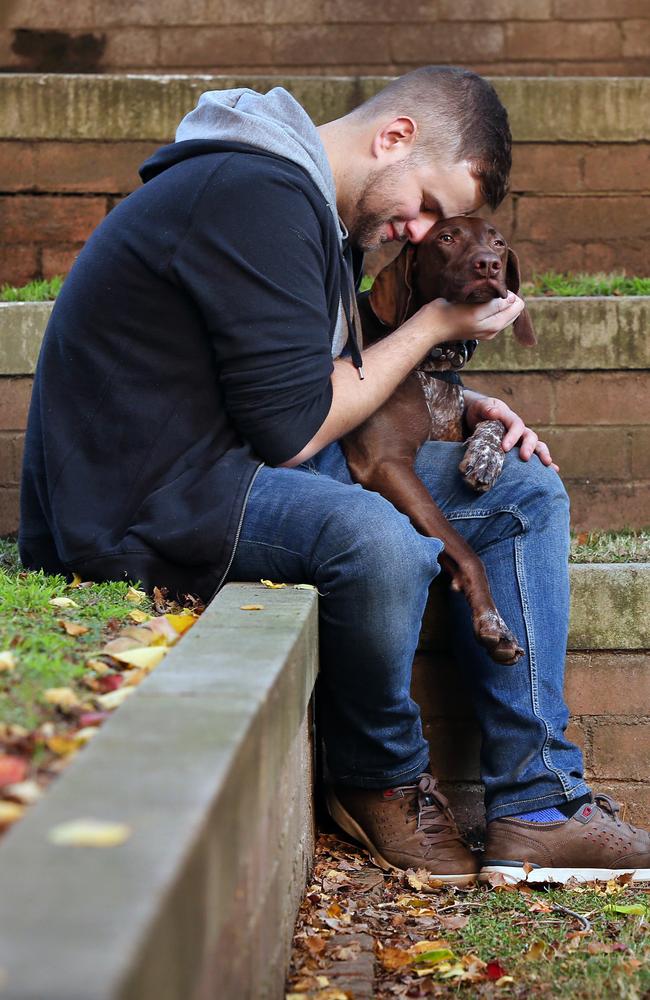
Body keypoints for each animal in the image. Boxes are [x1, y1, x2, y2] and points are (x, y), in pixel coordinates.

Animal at [342, 216, 536, 668]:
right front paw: (492, 621)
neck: (432, 361)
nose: (488, 265)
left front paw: (485, 457)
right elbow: (464, 549)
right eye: (446, 239)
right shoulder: (386, 464)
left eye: (498, 244)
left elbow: (492, 423)